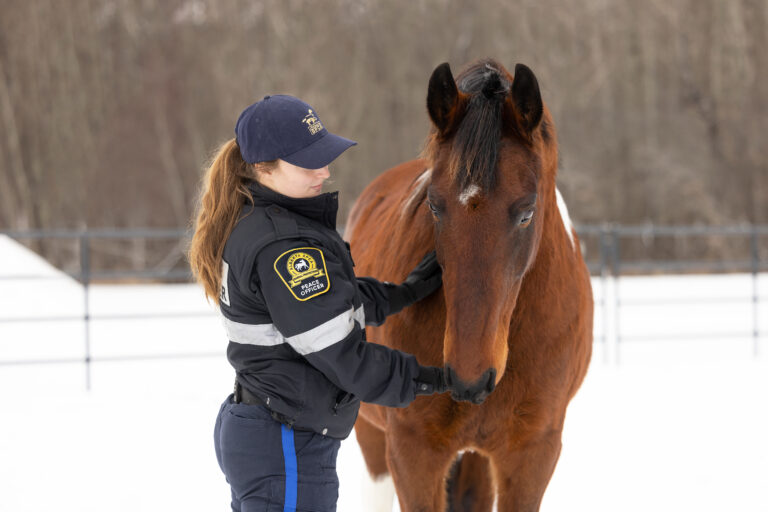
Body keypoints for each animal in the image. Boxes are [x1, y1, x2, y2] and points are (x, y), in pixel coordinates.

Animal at [344, 59, 593, 511]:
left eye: (527, 212)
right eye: (434, 205)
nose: (468, 377)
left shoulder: (532, 455)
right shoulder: (412, 454)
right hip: (373, 440)